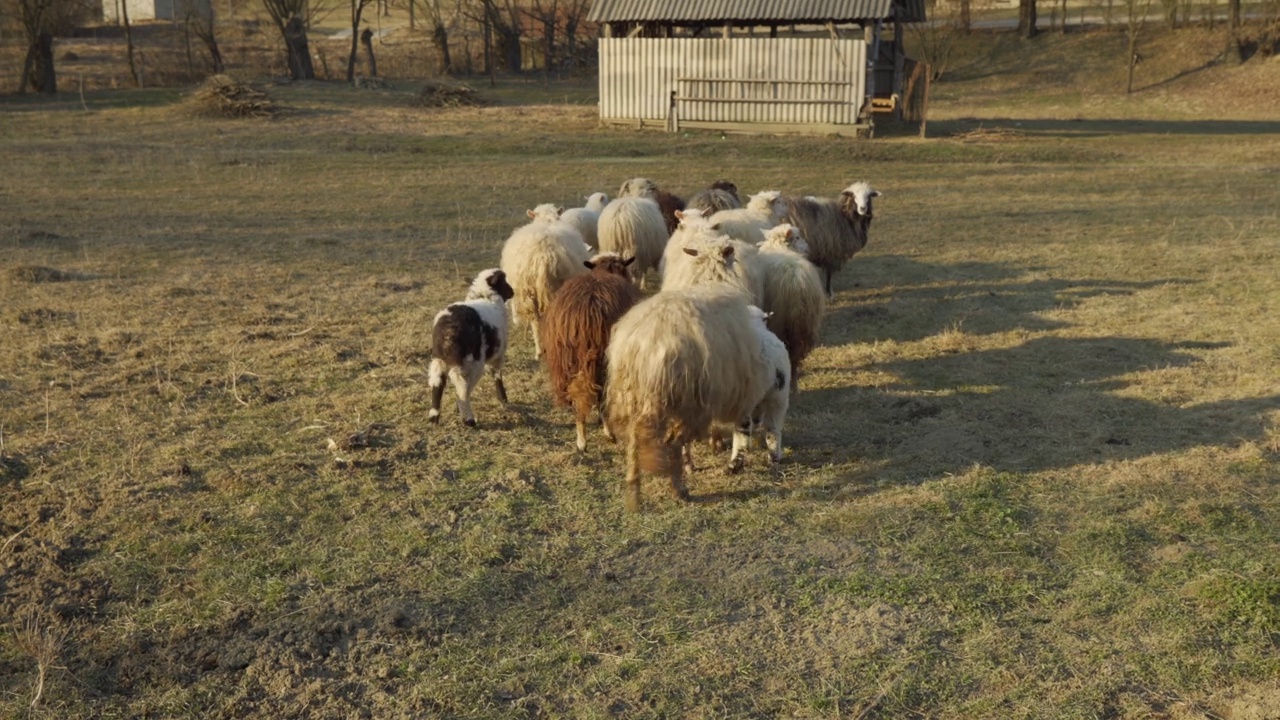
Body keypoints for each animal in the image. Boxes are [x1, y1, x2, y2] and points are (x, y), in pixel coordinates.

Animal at [424, 269, 514, 425]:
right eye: (504, 281)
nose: (513, 292)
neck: (486, 296)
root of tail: (449, 329)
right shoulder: (498, 355)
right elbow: (497, 376)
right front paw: (503, 399)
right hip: (472, 362)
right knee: (463, 389)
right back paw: (469, 420)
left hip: (439, 359)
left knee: (437, 384)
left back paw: (434, 417)